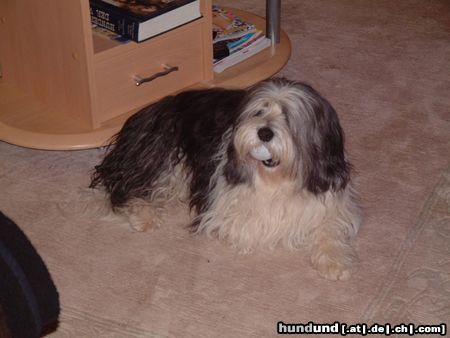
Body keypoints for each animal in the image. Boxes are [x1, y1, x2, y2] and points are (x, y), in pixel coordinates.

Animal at [90, 77, 362, 280]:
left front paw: (334, 262)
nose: (264, 132)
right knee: (126, 187)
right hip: (163, 152)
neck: (276, 179)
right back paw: (144, 214)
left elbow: (329, 226)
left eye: (288, 116)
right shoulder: (226, 206)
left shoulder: (331, 198)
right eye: (259, 111)